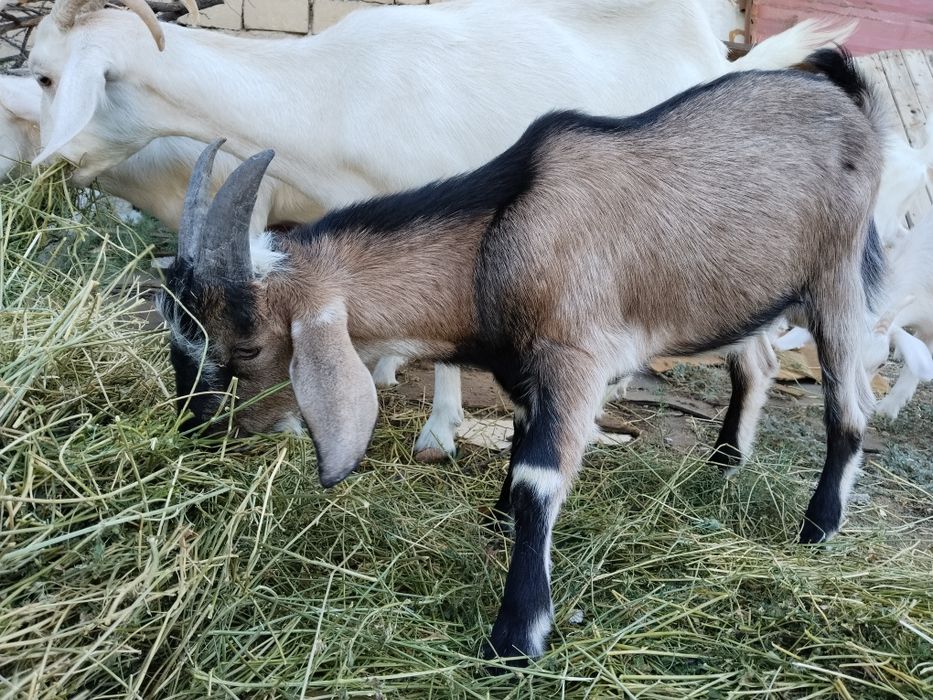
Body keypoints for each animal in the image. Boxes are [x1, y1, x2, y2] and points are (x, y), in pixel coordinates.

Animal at [158, 49, 884, 665]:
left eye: (250, 344)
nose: (200, 428)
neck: (492, 246)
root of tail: (846, 98)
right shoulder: (521, 367)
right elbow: (517, 435)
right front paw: (499, 513)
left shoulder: (574, 358)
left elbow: (541, 477)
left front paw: (516, 636)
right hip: (738, 293)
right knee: (756, 363)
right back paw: (726, 461)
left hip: (835, 275)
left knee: (848, 402)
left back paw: (818, 526)